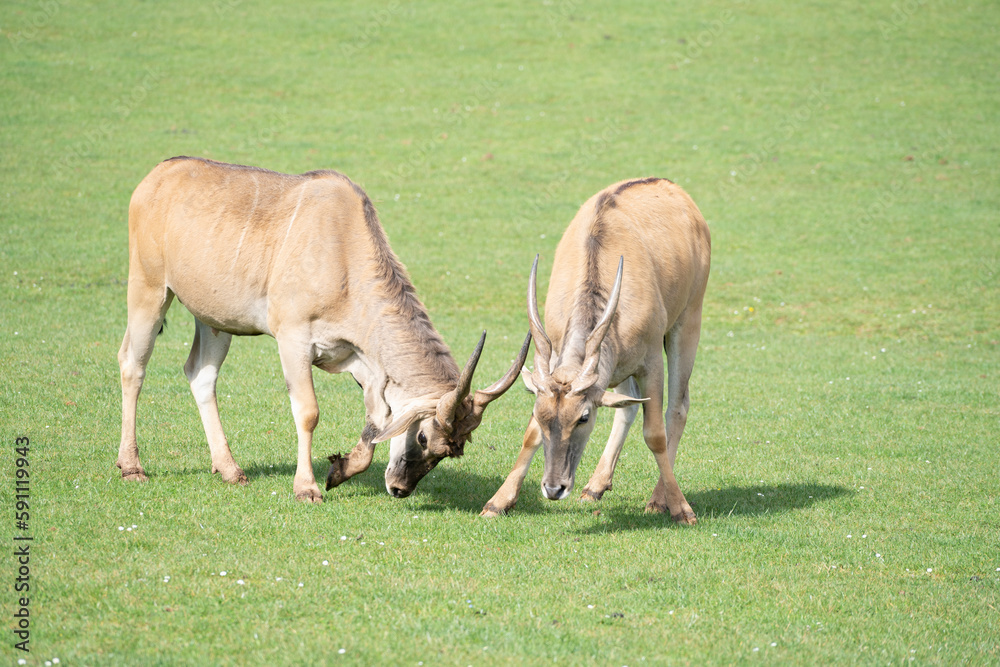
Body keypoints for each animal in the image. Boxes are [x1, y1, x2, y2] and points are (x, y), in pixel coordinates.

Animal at [117, 157, 529, 502]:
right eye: (424, 436)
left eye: (450, 451)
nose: (399, 488)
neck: (344, 251)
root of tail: (156, 175)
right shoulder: (293, 341)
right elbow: (309, 412)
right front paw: (307, 487)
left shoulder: (363, 362)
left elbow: (376, 422)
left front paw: (339, 470)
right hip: (149, 291)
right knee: (132, 365)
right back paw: (131, 466)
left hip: (214, 320)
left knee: (200, 375)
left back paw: (230, 469)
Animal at [481, 178, 710, 523]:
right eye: (539, 414)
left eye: (584, 418)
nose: (554, 488)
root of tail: (673, 188)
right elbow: (530, 434)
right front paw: (498, 501)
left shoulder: (650, 361)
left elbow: (654, 434)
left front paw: (681, 509)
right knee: (627, 407)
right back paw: (595, 486)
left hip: (688, 320)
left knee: (678, 407)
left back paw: (659, 498)